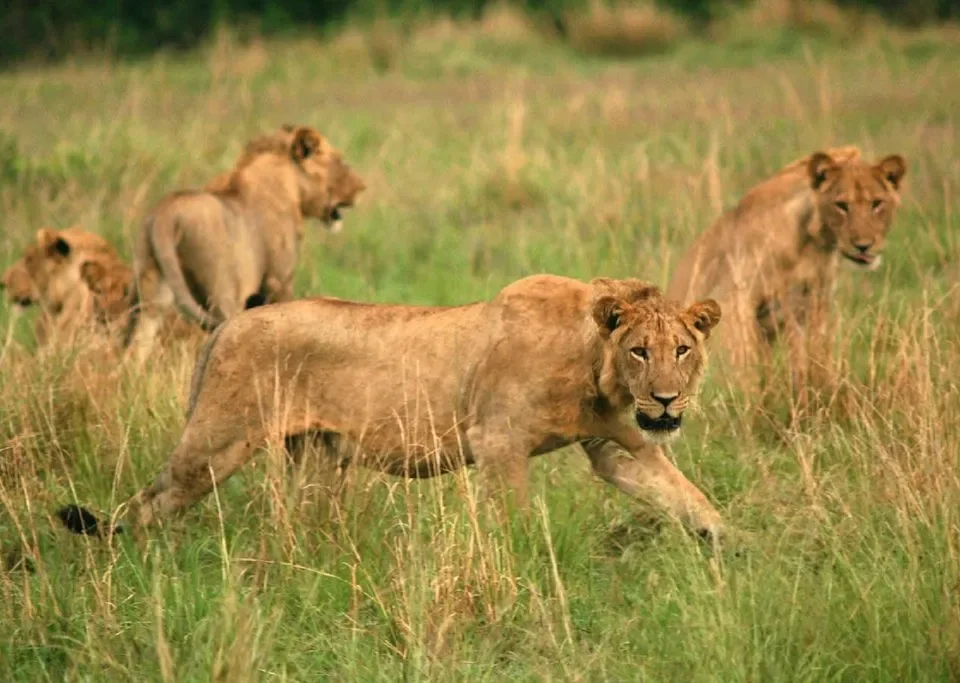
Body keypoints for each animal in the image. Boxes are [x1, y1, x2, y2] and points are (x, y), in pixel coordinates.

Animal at [57, 274, 726, 545]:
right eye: (640, 351)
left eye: (682, 349)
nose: (666, 398)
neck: (593, 359)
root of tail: (226, 326)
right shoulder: (497, 440)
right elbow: (512, 517)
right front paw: (524, 563)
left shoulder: (615, 443)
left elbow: (685, 494)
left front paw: (730, 549)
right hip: (217, 441)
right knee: (150, 500)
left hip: (316, 461)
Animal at [124, 124, 367, 362]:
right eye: (341, 160)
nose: (362, 187)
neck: (289, 185)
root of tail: (165, 216)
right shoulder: (279, 279)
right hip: (223, 290)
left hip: (151, 287)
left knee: (137, 343)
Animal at [666, 146, 907, 399]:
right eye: (841, 205)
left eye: (877, 203)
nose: (864, 246)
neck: (813, 246)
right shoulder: (736, 301)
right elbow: (745, 366)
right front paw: (748, 400)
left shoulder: (813, 305)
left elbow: (813, 358)